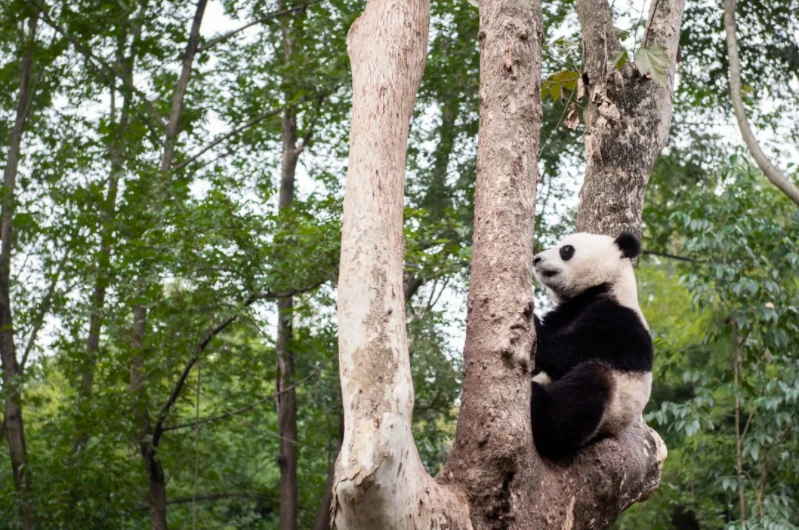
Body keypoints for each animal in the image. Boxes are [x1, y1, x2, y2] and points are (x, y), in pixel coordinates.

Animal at [528, 231, 652, 454]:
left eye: (566, 250)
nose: (537, 259)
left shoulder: (618, 323)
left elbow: (570, 353)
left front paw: (532, 322)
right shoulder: (564, 313)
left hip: (611, 409)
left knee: (590, 382)